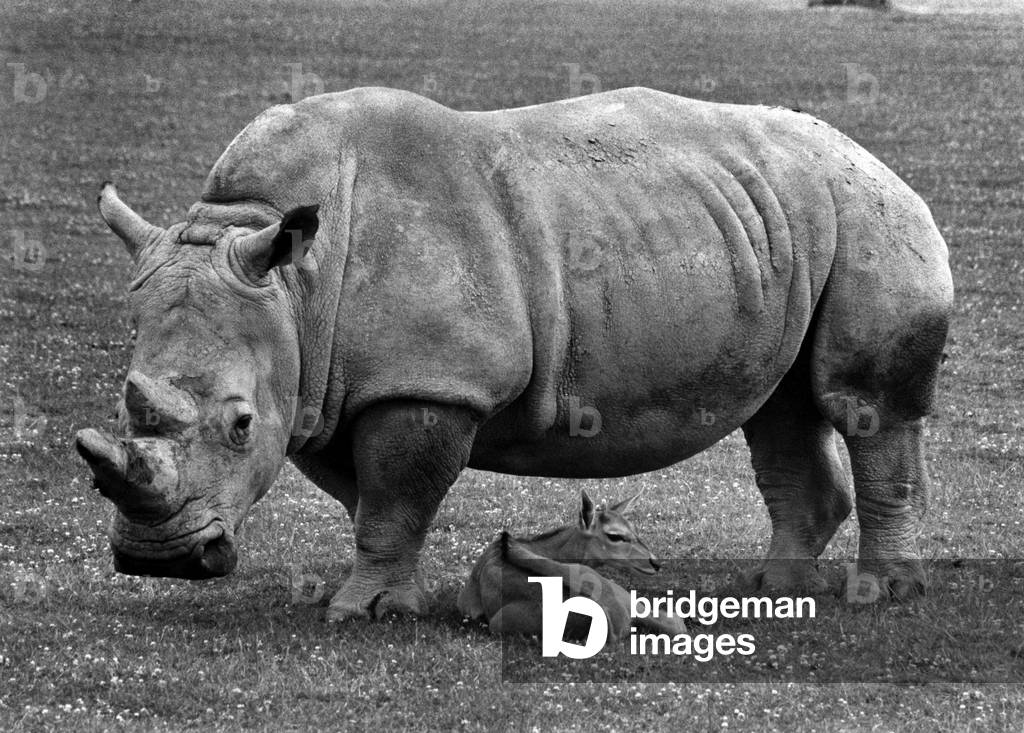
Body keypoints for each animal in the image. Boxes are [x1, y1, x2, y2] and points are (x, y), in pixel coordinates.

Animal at [75, 86, 952, 620]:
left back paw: (880, 593)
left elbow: (394, 498)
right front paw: (395, 600)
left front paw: (362, 613)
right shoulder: (330, 384)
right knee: (782, 408)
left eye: (239, 424)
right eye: (122, 400)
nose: (160, 562)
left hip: (870, 218)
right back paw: (776, 588)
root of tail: (880, 161)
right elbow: (371, 500)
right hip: (780, 224)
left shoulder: (428, 382)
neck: (294, 283)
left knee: (862, 406)